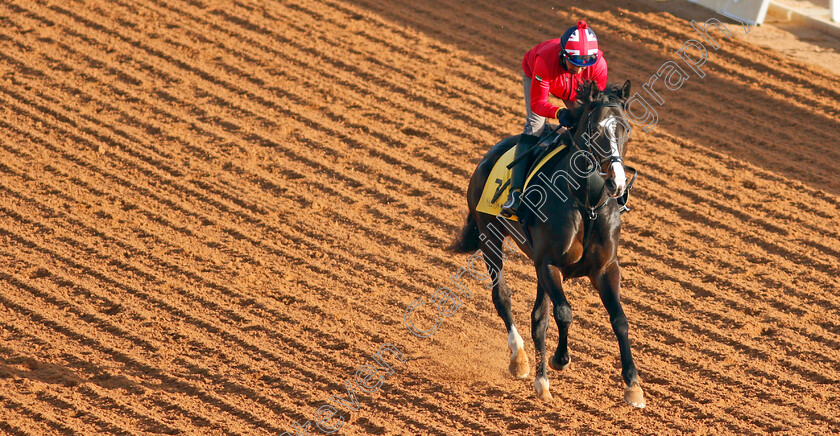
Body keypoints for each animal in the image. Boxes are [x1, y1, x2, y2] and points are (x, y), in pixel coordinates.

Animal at [452, 80, 644, 408]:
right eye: (595, 129)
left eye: (625, 128)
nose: (617, 183)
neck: (587, 204)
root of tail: (490, 154)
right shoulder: (550, 263)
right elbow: (564, 312)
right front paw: (560, 359)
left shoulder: (605, 268)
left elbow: (619, 319)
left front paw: (633, 386)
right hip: (490, 236)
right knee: (502, 298)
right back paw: (521, 361)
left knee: (538, 318)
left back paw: (541, 380)